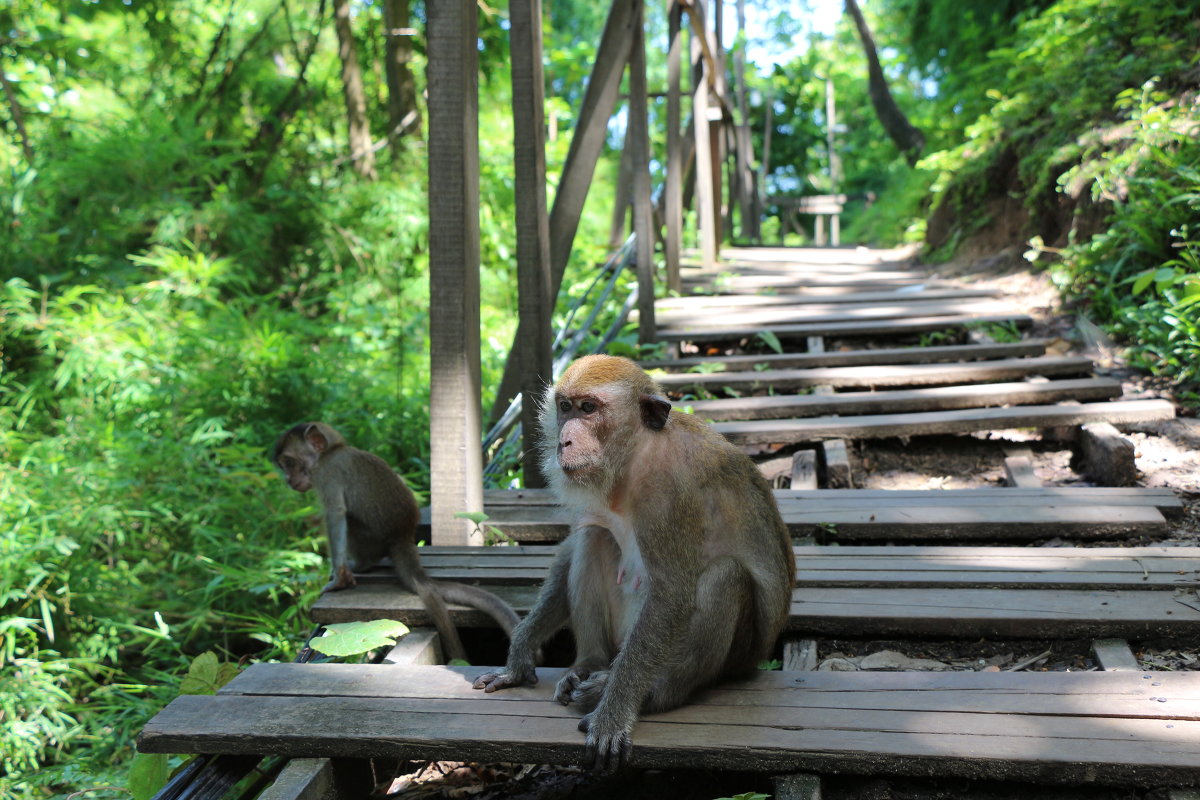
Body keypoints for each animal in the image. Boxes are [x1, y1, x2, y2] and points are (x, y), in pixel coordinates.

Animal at [272, 422, 520, 666]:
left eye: (289, 462)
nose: (288, 480)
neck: (331, 451)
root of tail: (402, 537)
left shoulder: (327, 473)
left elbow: (336, 514)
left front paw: (339, 578)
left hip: (367, 540)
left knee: (350, 521)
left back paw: (362, 564)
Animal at [470, 355, 796, 767]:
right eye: (566, 407)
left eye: (589, 408)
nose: (564, 440)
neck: (638, 455)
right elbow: (572, 547)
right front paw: (518, 655)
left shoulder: (669, 495)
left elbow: (671, 595)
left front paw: (613, 715)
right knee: (596, 536)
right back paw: (589, 665)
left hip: (735, 659)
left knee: (725, 576)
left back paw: (661, 692)